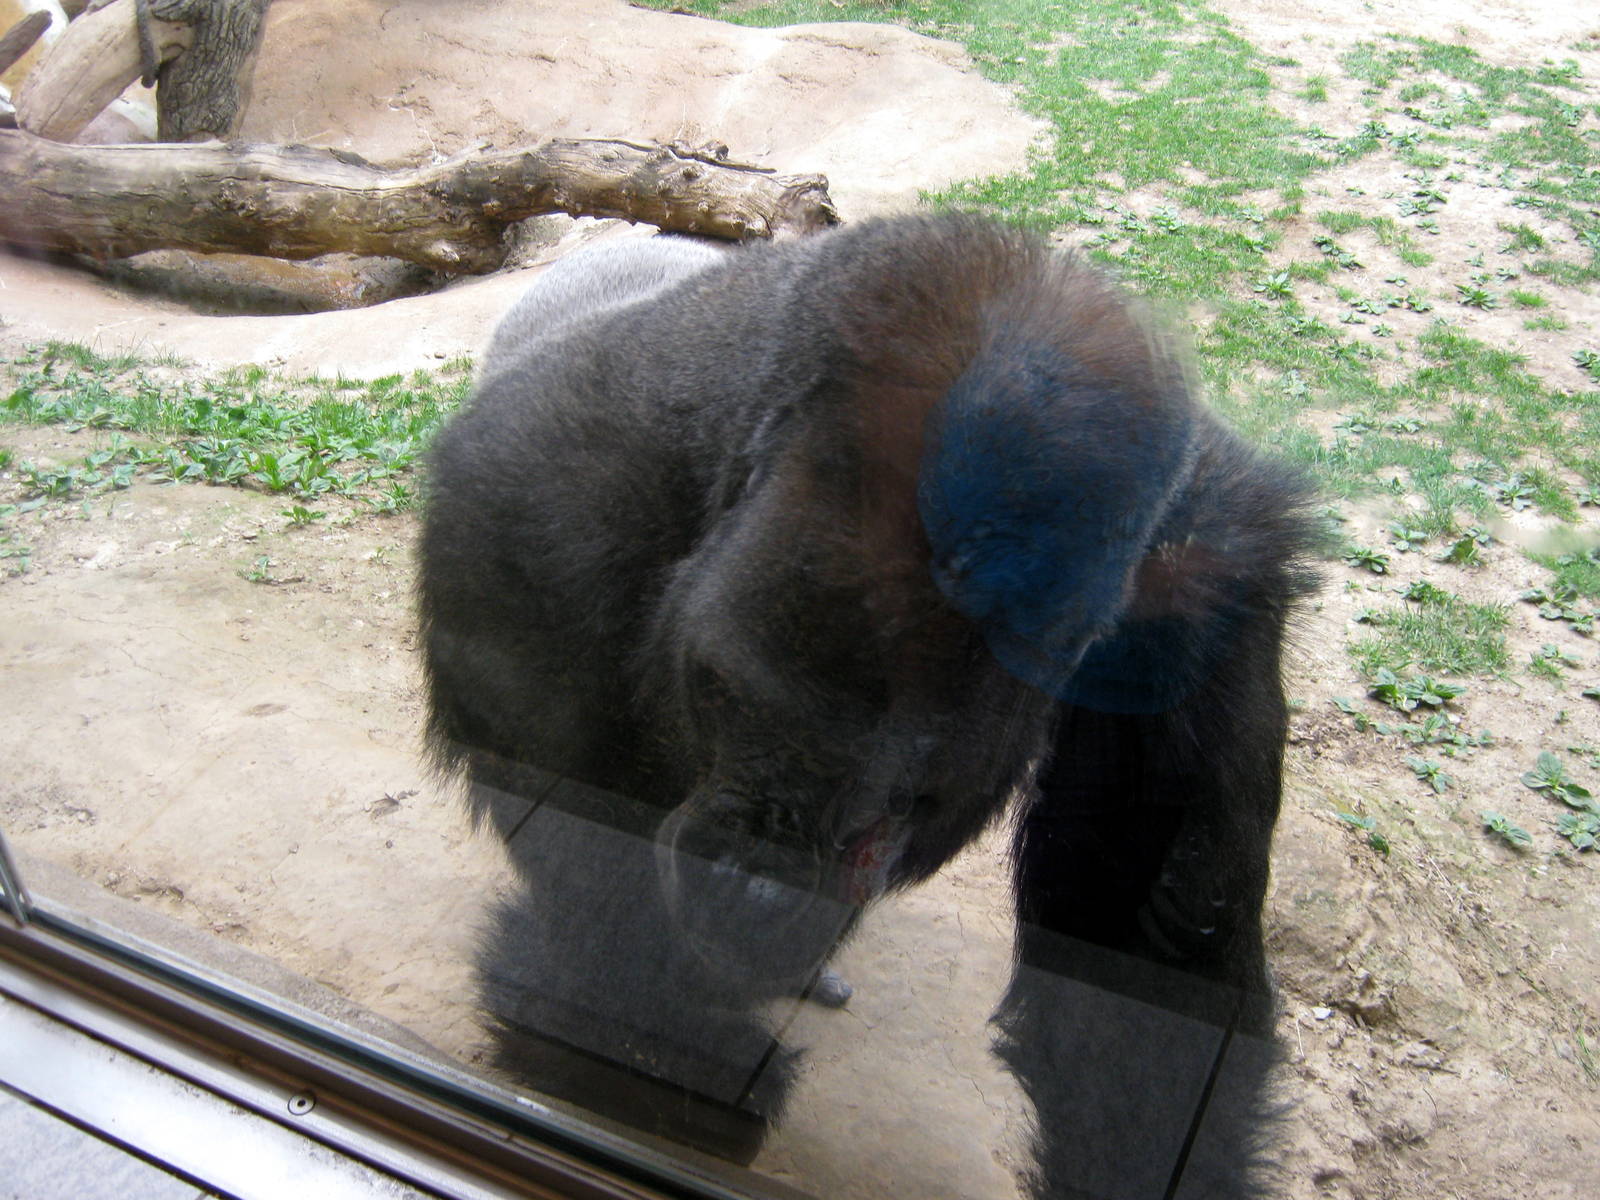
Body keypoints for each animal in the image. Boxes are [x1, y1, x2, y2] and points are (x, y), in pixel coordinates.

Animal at [417, 214, 1316, 1198]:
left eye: (901, 792)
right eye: (717, 694)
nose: (749, 887)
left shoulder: (1199, 581)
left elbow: (1136, 947)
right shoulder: (533, 520)